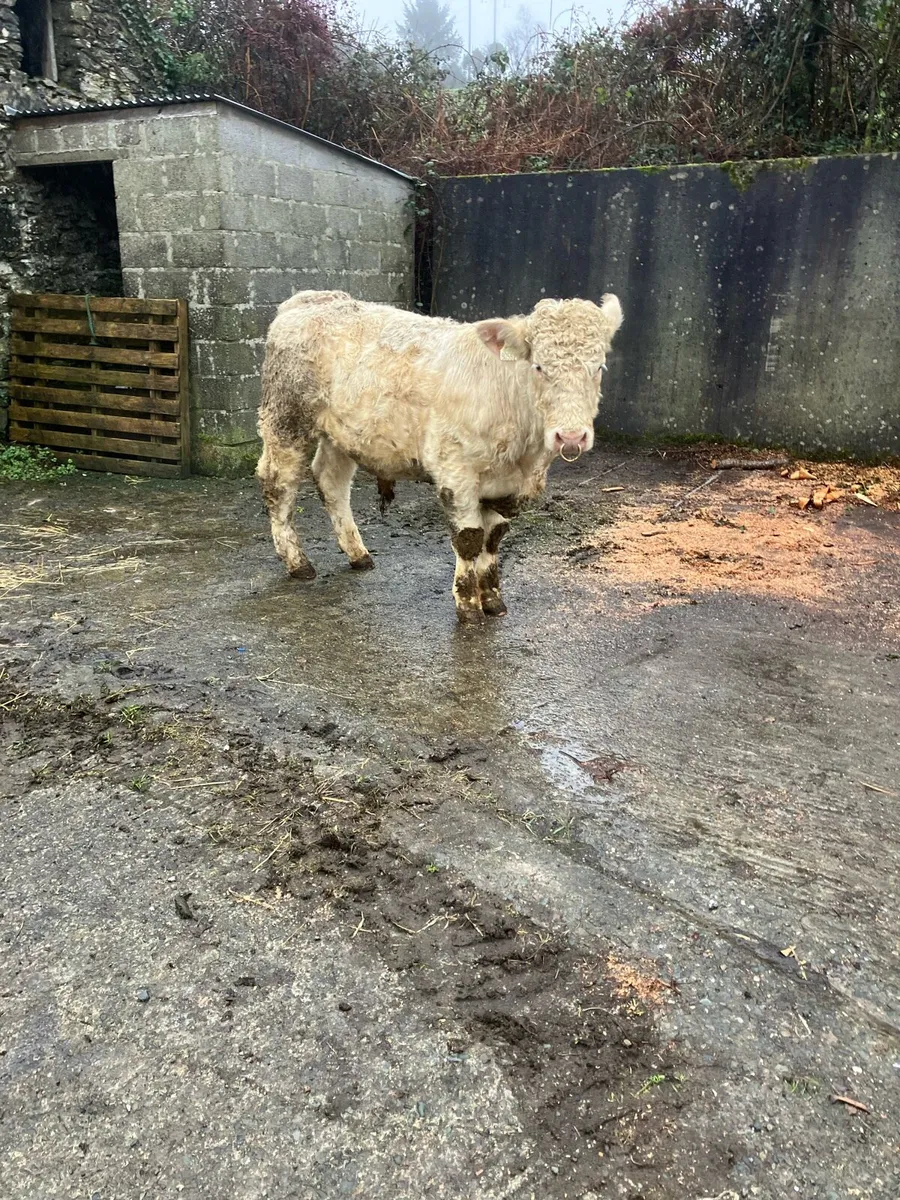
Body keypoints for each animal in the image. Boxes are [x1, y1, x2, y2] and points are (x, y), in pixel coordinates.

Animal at [256, 289, 623, 622]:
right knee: (278, 483)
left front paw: (493, 599)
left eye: (599, 367)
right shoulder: (455, 470)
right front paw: (469, 606)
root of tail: (311, 297)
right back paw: (297, 562)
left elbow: (493, 539)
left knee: (331, 481)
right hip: (286, 417)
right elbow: (470, 539)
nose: (571, 436)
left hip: (343, 432)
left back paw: (357, 554)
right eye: (538, 367)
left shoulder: (503, 485)